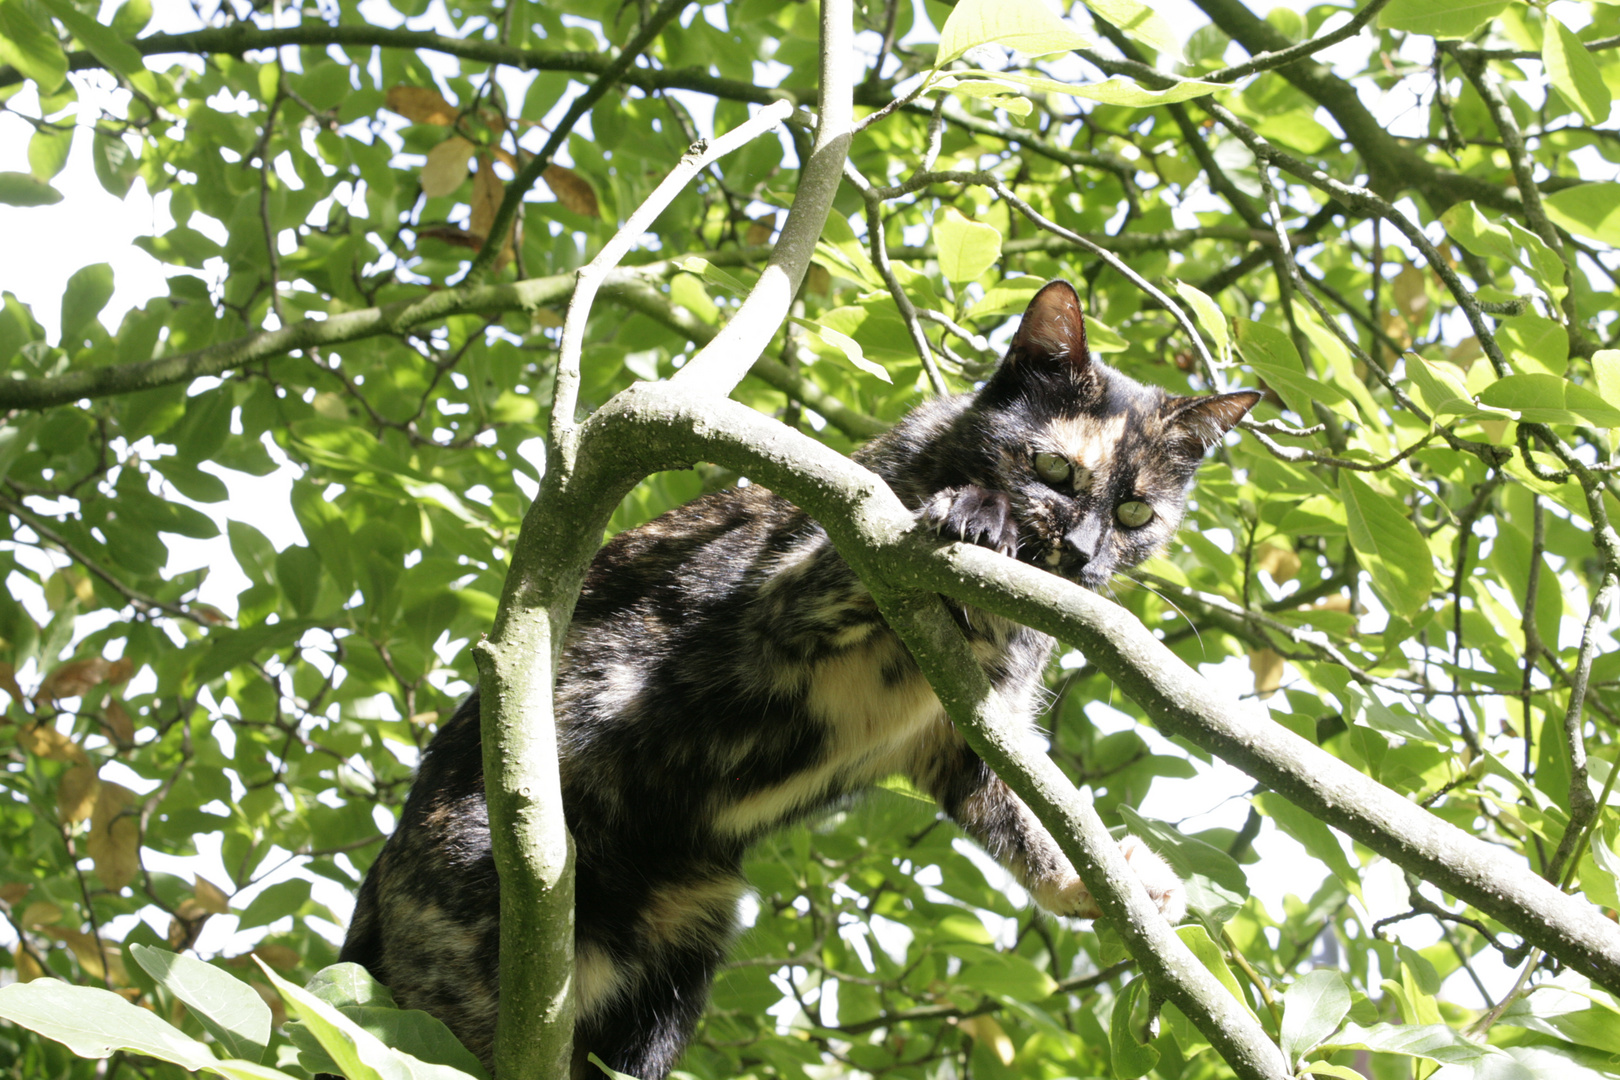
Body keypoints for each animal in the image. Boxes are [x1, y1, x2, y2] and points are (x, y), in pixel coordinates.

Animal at [338, 281, 1250, 1080]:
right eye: (1055, 471)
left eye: (1137, 514)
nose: (1084, 554)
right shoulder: (791, 595)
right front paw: (975, 512)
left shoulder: (966, 739)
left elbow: (1028, 826)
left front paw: (1114, 881)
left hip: (677, 969)